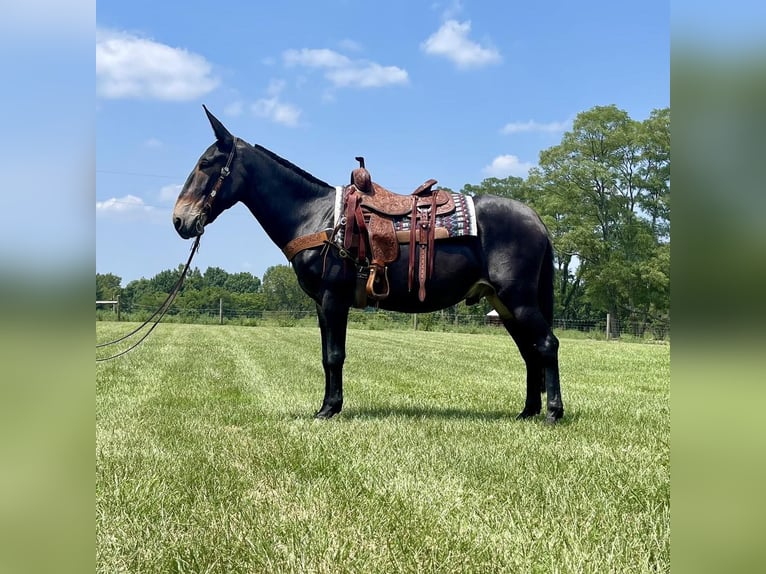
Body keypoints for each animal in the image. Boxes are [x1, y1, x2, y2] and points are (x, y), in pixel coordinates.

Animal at [173, 107, 564, 423]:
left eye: (205, 164)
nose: (180, 220)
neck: (316, 217)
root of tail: (535, 219)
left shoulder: (333, 298)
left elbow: (334, 355)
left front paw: (329, 409)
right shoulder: (322, 304)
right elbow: (326, 355)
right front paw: (327, 405)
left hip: (519, 299)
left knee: (546, 345)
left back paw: (552, 413)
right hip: (504, 304)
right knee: (530, 353)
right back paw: (527, 412)